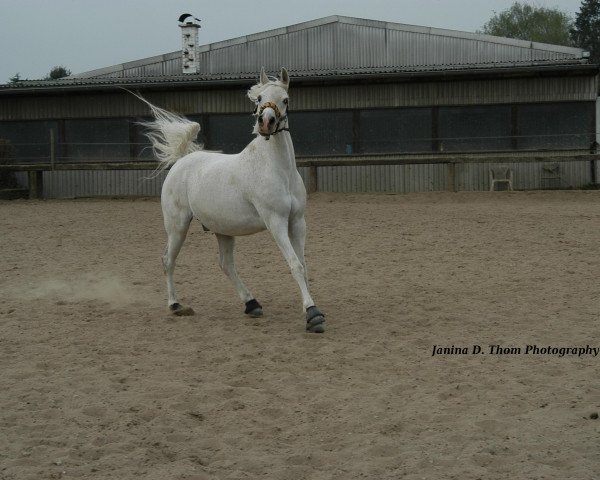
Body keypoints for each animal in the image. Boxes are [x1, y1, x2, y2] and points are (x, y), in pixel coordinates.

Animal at [141, 66, 326, 334]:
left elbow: (303, 263)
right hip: (177, 227)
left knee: (226, 265)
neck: (278, 170)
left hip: (222, 229)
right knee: (168, 260)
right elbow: (294, 264)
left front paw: (309, 307)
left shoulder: (297, 222)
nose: (266, 123)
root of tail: (181, 161)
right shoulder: (276, 222)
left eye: (286, 99)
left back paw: (252, 304)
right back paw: (176, 305)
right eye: (259, 99)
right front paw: (313, 315)